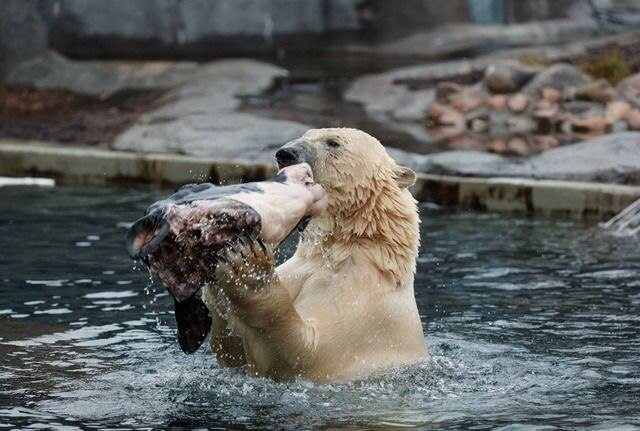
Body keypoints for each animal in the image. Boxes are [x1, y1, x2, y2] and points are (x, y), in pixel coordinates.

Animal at [202, 127, 428, 382]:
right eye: (305, 135)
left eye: (333, 143)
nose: (285, 153)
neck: (340, 252)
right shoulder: (302, 268)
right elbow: (232, 352)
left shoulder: (365, 314)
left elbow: (302, 355)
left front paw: (249, 269)